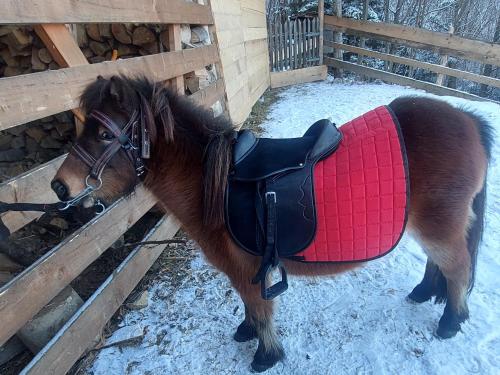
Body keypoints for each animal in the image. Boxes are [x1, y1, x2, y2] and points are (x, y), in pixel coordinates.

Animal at [51, 76, 492, 374]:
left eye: (103, 133)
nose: (59, 186)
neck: (212, 183)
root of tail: (467, 119)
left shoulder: (247, 271)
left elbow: (261, 311)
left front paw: (266, 355)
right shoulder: (242, 272)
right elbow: (250, 308)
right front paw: (247, 332)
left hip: (440, 227)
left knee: (457, 268)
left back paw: (451, 322)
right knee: (440, 264)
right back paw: (424, 293)